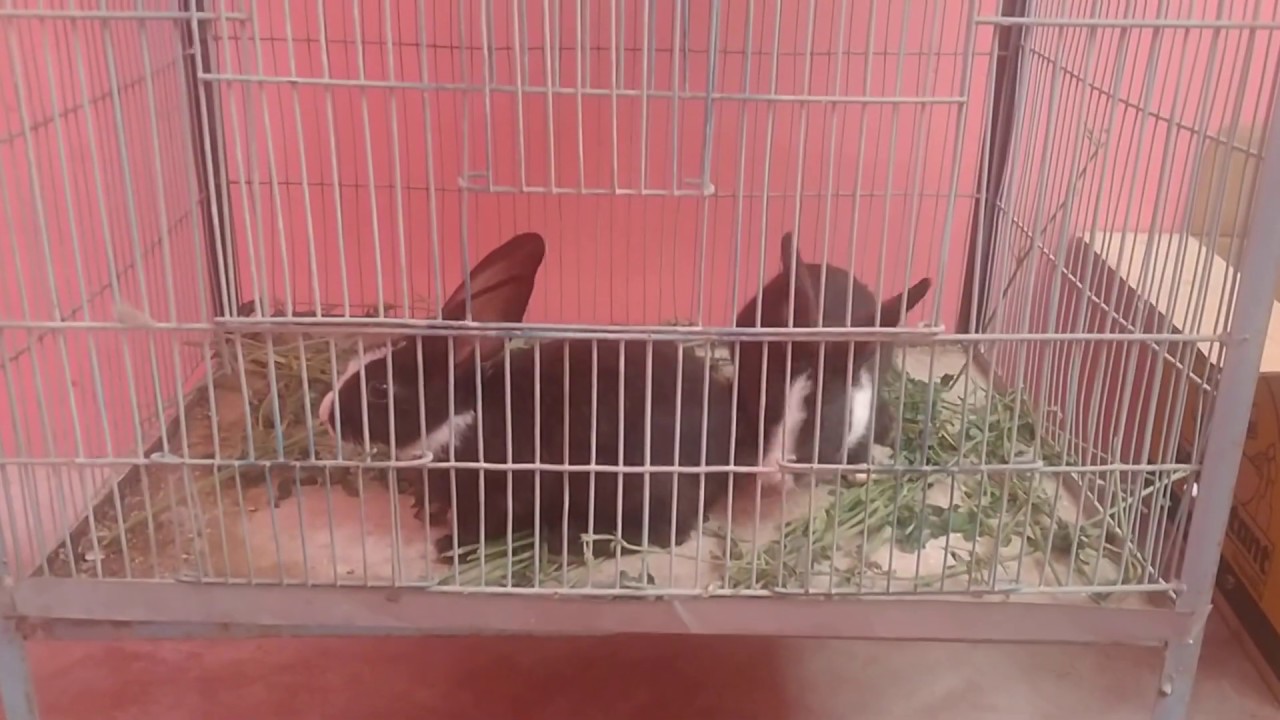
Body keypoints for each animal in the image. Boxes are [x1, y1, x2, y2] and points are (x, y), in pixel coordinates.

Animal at [319, 231, 737, 560]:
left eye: (380, 389)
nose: (325, 414)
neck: (457, 415)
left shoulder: (497, 496)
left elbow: (483, 528)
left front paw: (449, 548)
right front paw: (427, 512)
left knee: (668, 533)